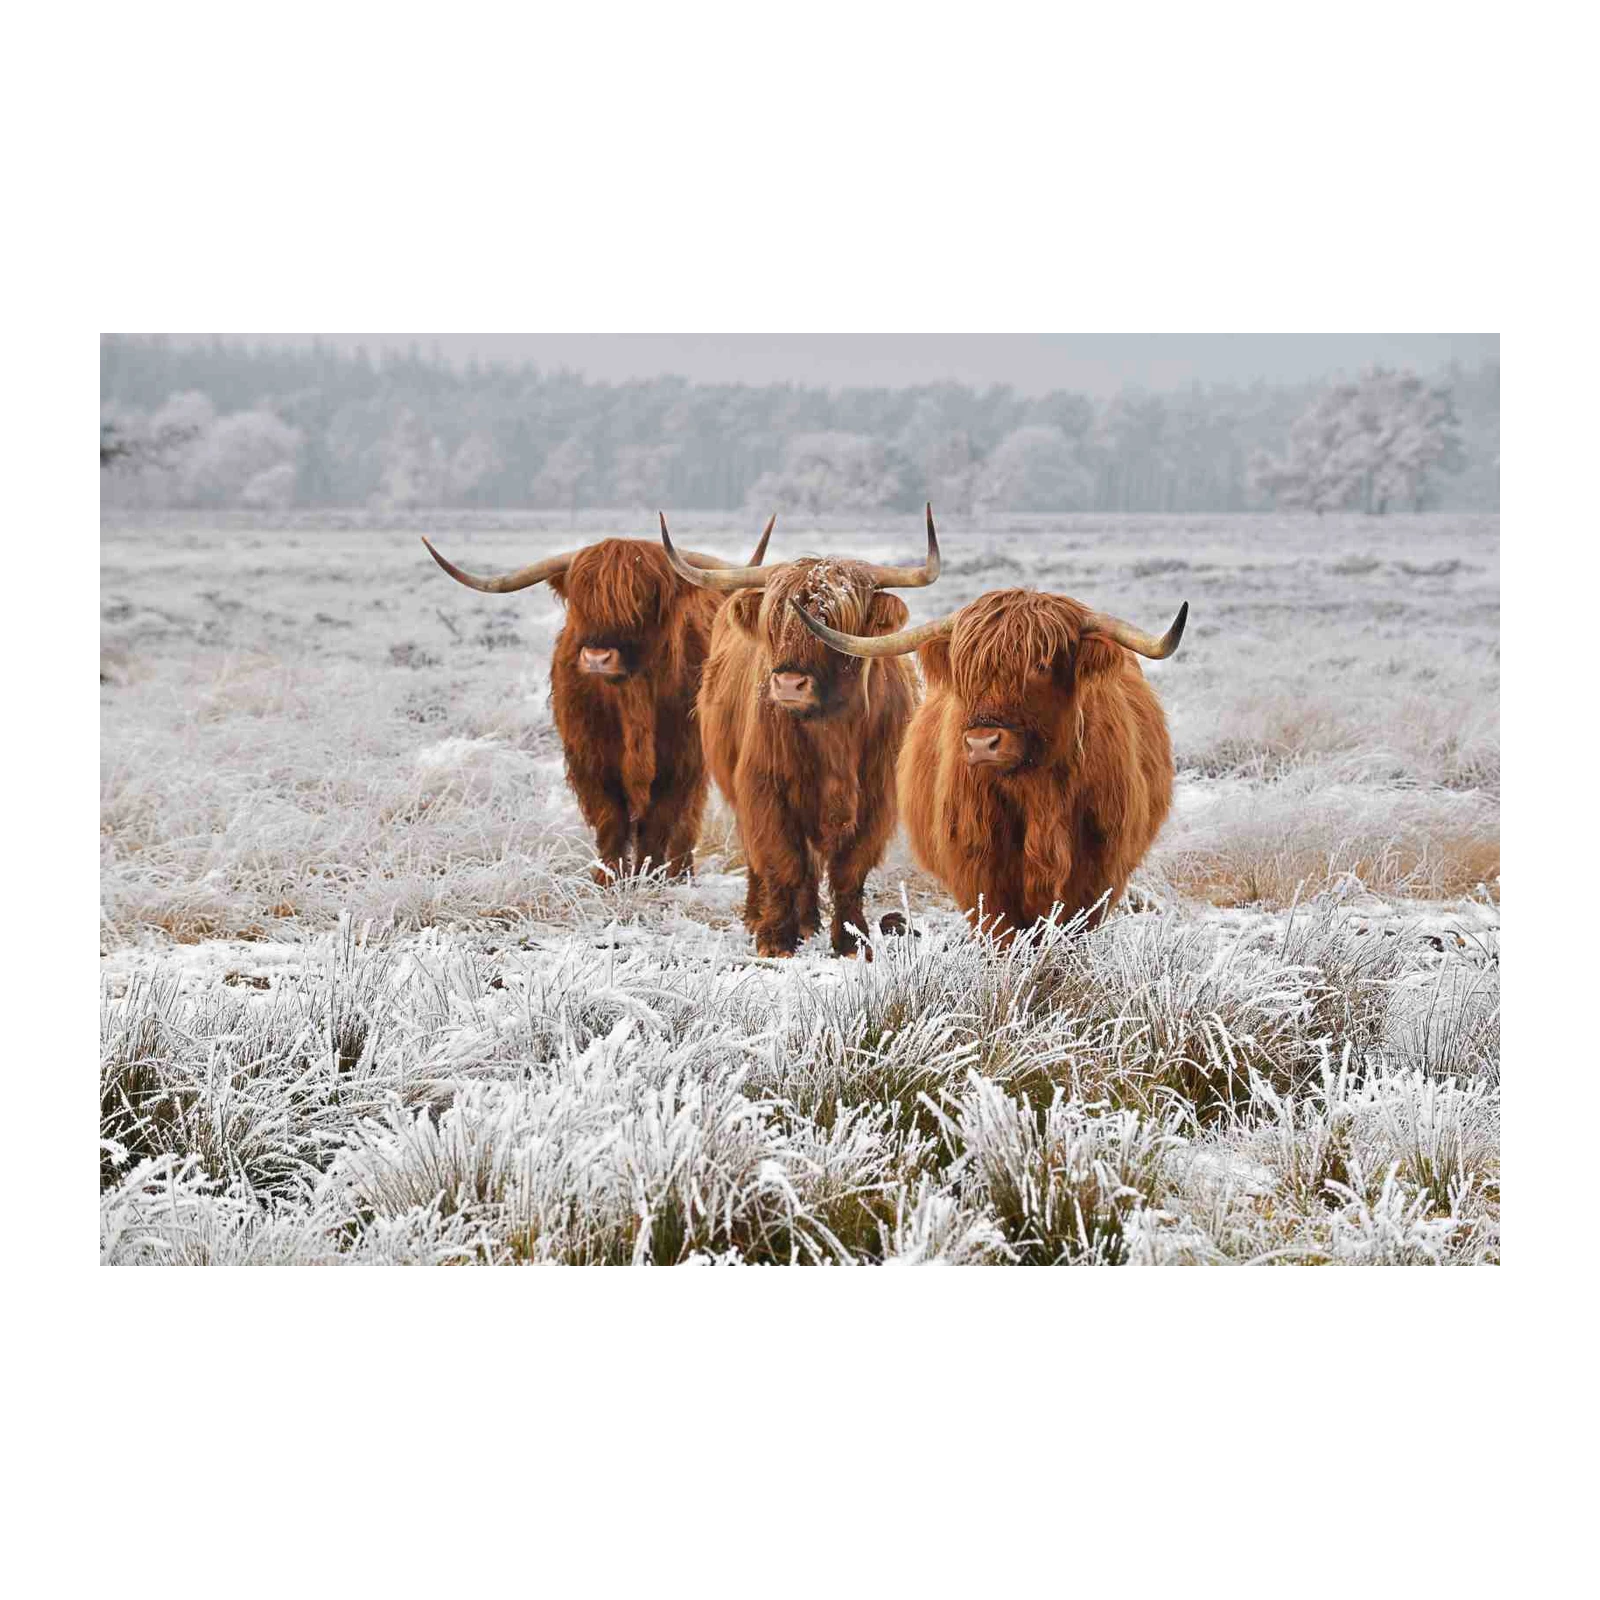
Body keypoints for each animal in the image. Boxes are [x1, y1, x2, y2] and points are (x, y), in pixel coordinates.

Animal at [421, 519, 774, 886]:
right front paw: (608, 879)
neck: (632, 699)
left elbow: (659, 821)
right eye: (581, 600)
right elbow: (611, 820)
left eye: (642, 597)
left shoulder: (681, 760)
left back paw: (680, 873)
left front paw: (648, 877)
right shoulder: (590, 759)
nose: (597, 658)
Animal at [659, 506, 943, 959]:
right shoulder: (765, 788)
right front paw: (775, 937)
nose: (789, 684)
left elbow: (849, 869)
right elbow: (782, 861)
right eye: (774, 620)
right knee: (767, 859)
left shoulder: (877, 798)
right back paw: (763, 916)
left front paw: (852, 939)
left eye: (833, 621)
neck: (832, 732)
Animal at [793, 586, 1187, 943]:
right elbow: (1002, 936)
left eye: (1041, 665)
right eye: (965, 669)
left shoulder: (1096, 872)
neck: (1038, 794)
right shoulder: (980, 871)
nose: (982, 742)